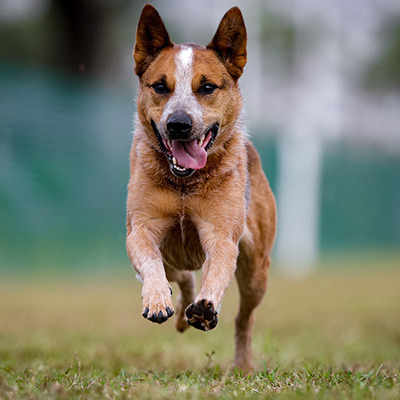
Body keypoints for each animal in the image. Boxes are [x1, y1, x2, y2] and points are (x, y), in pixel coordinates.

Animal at [126, 3, 276, 372]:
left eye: (207, 87)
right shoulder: (142, 227)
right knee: (180, 276)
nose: (178, 124)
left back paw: (241, 363)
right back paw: (180, 310)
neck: (184, 185)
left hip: (256, 271)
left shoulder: (220, 234)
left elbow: (217, 269)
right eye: (160, 86)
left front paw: (206, 307)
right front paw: (157, 301)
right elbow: (150, 261)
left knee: (244, 317)